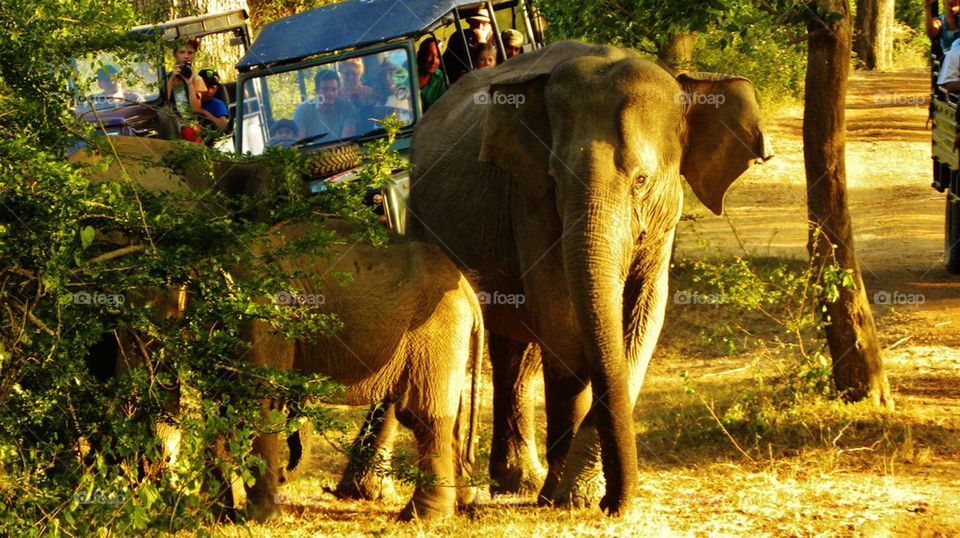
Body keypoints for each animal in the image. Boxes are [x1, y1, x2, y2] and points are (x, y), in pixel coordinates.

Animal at [237, 219, 485, 521]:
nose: (283, 473)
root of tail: (469, 293)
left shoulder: (265, 315)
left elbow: (258, 402)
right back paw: (460, 504)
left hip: (435, 331)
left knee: (424, 415)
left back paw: (423, 516)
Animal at [347, 40, 773, 514]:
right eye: (554, 179)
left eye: (642, 180)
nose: (615, 504)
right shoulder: (529, 201)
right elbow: (562, 322)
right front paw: (571, 497)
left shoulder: (665, 224)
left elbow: (643, 321)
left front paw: (574, 493)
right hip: (419, 216)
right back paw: (375, 490)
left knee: (514, 350)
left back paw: (514, 482)